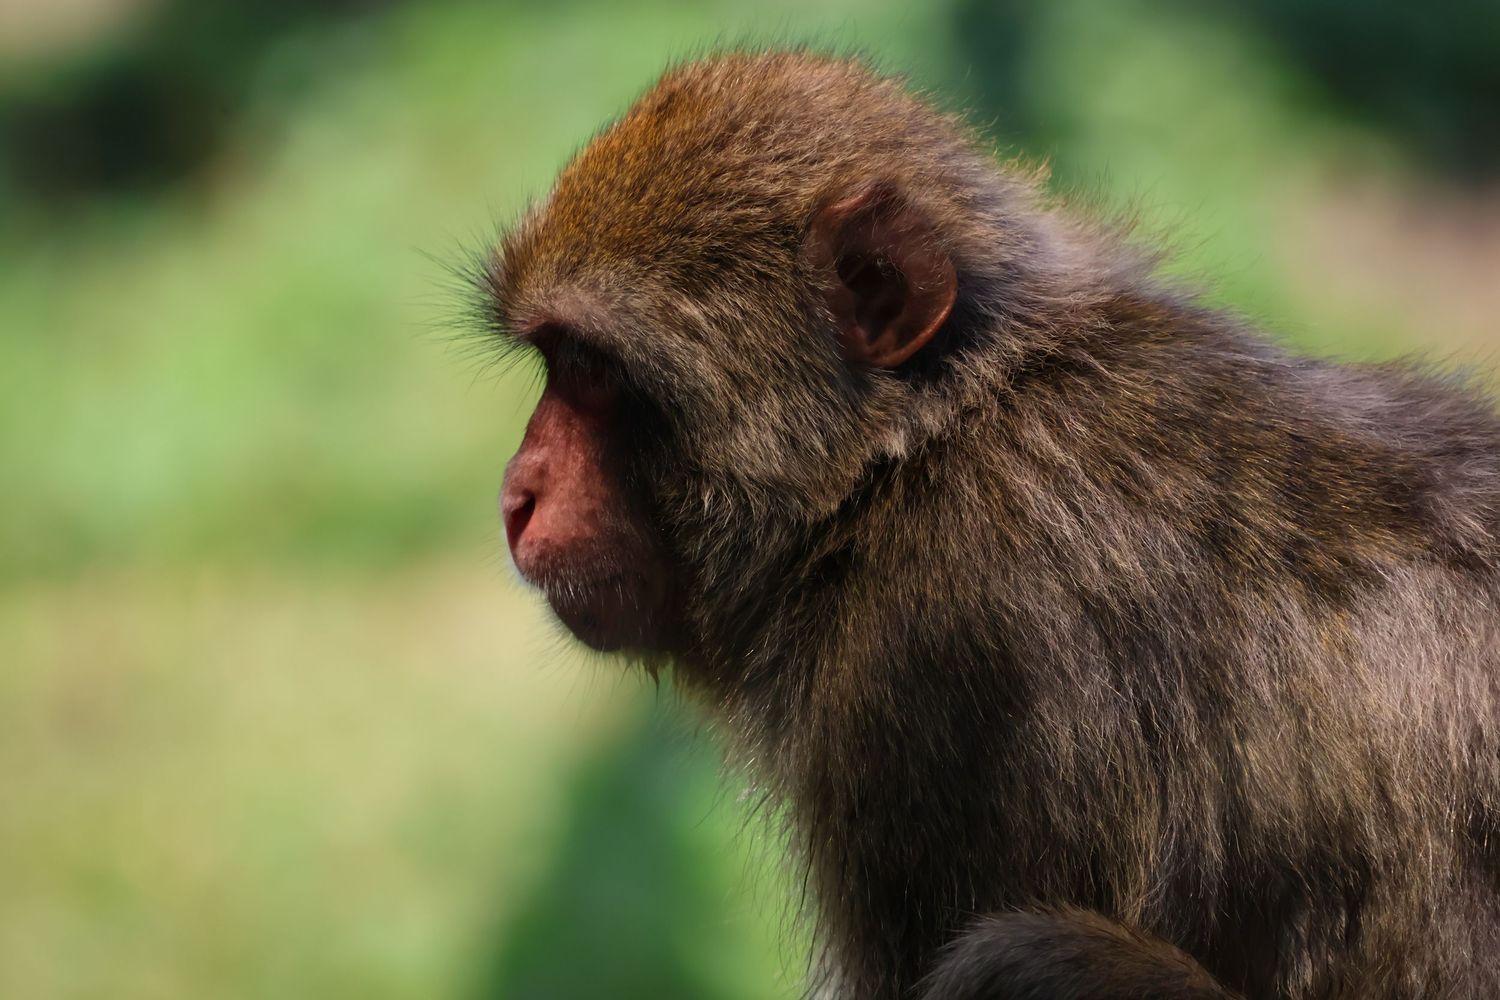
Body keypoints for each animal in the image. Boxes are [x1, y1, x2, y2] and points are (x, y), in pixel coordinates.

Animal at [481, 51, 1500, 1000]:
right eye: (554, 361)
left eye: (592, 370)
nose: (515, 494)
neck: (911, 462)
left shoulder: (940, 678)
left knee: (1024, 954)